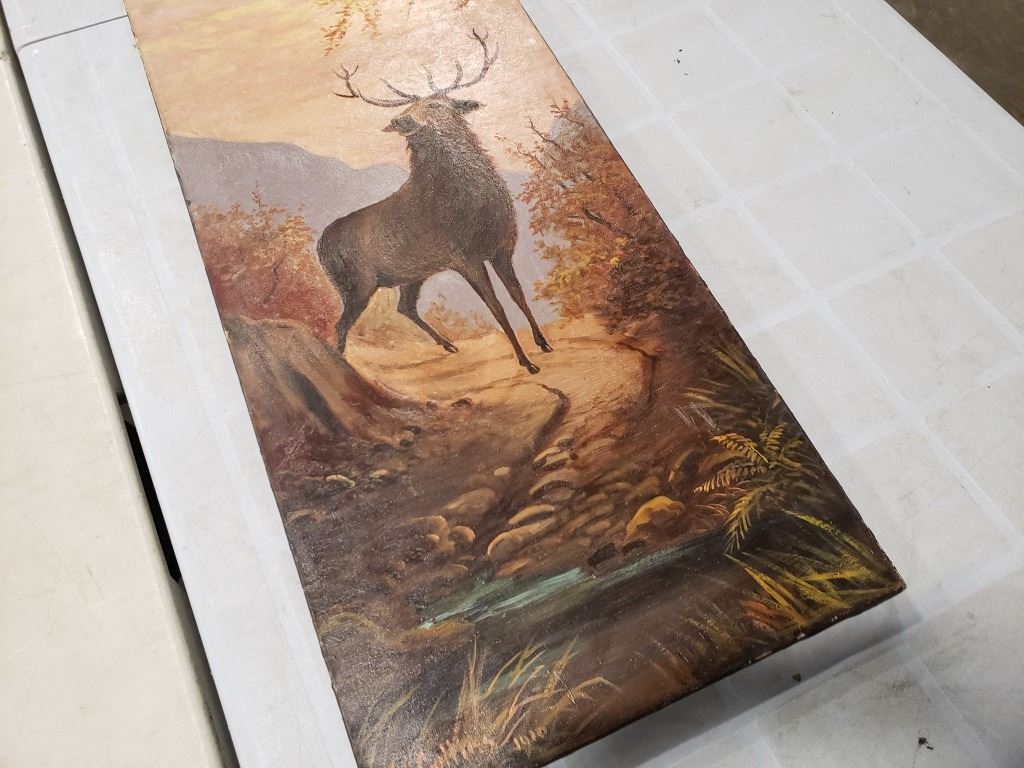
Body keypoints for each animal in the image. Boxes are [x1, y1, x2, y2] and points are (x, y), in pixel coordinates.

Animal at [317, 29, 552, 374]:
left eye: (436, 104)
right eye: (412, 109)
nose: (401, 121)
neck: (477, 208)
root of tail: (318, 246)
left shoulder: (502, 247)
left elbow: (518, 295)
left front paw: (543, 343)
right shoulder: (463, 256)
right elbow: (495, 307)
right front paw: (526, 362)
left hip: (411, 275)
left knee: (404, 306)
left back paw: (448, 344)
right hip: (355, 283)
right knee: (341, 323)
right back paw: (344, 365)